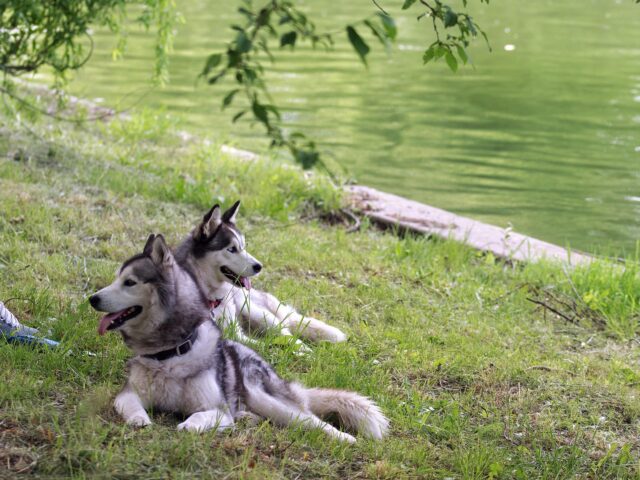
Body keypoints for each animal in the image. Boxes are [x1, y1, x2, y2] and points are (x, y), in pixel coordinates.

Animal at [89, 233, 390, 442]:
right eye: (116, 279)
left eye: (129, 282)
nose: (92, 298)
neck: (170, 354)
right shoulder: (127, 394)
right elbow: (130, 406)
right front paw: (140, 420)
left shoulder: (218, 409)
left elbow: (202, 415)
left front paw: (189, 425)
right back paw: (246, 417)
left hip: (270, 400)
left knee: (311, 420)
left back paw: (344, 438)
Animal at [172, 202, 348, 348]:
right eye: (231, 249)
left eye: (243, 247)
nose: (259, 266)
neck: (212, 301)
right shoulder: (233, 335)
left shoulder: (236, 331)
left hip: (258, 313)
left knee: (288, 334)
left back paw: (303, 351)